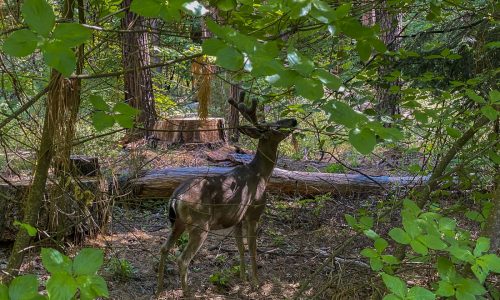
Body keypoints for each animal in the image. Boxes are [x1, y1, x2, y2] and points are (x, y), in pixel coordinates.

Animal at [156, 96, 296, 296]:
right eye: (274, 126)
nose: (294, 120)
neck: (261, 174)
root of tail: (175, 198)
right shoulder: (253, 212)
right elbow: (252, 248)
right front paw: (256, 283)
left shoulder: (237, 218)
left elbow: (240, 248)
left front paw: (243, 279)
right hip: (199, 224)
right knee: (183, 259)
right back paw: (187, 292)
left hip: (178, 222)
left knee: (164, 248)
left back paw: (159, 290)